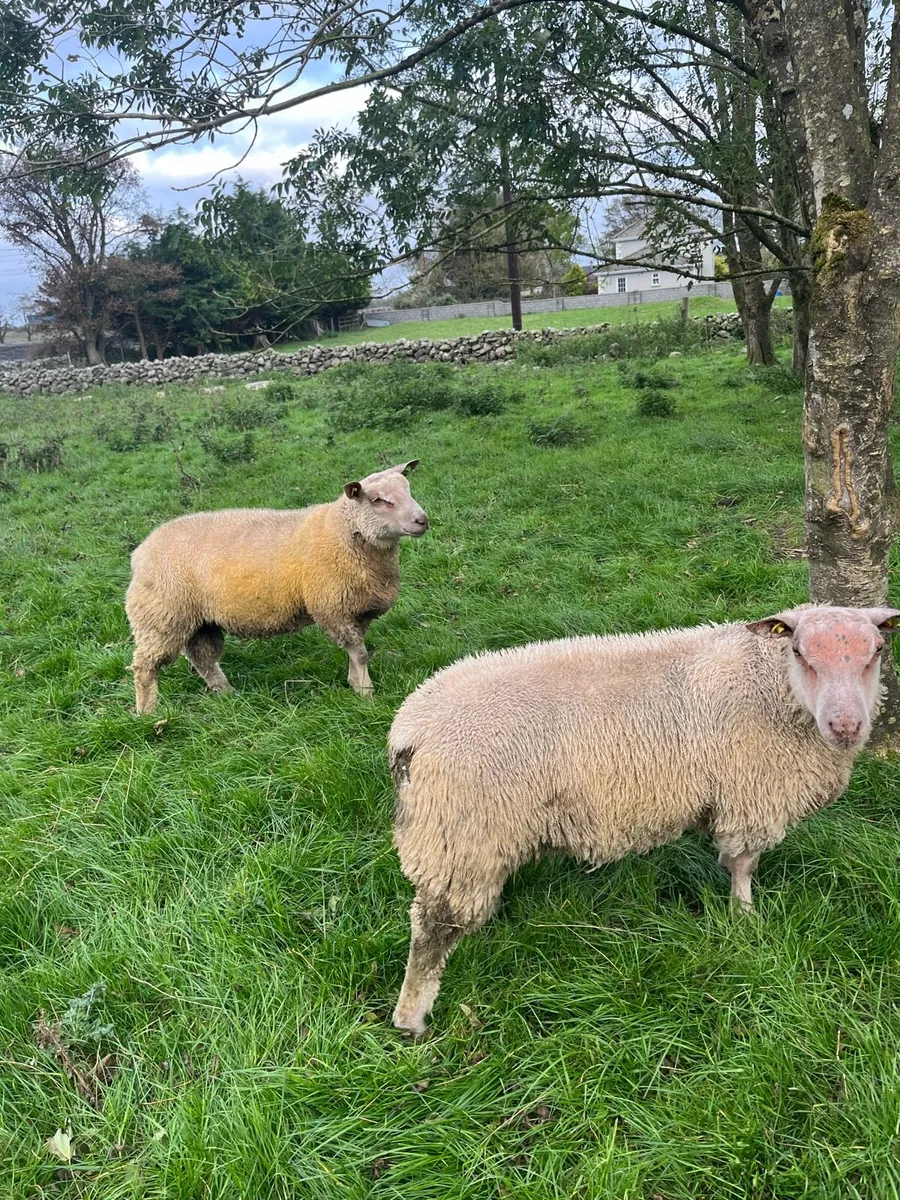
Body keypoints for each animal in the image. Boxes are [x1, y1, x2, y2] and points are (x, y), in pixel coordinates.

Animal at [125, 460, 428, 713]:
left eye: (409, 489)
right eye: (378, 500)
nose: (422, 520)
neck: (341, 531)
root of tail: (140, 552)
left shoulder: (356, 610)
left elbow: (357, 653)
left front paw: (354, 683)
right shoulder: (333, 609)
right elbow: (361, 654)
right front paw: (367, 694)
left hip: (199, 621)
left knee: (203, 659)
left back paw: (226, 694)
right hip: (161, 617)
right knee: (145, 666)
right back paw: (147, 713)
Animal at [388, 604, 899, 1035]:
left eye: (876, 651)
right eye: (799, 652)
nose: (846, 726)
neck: (770, 684)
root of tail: (408, 730)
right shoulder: (751, 797)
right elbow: (744, 865)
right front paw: (745, 918)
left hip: (467, 838)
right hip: (459, 829)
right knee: (431, 928)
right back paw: (411, 1019)